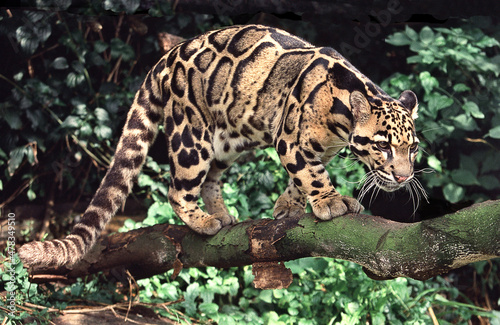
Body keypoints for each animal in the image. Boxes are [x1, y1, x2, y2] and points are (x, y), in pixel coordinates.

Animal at [18, 24, 418, 268]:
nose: (403, 177)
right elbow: (311, 174)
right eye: (383, 146)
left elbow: (299, 178)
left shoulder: (320, 148)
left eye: (412, 148)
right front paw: (331, 201)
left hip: (226, 141)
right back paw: (203, 221)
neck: (341, 120)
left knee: (211, 178)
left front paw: (288, 206)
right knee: (177, 189)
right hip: (191, 137)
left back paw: (222, 214)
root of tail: (168, 56)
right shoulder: (290, 140)